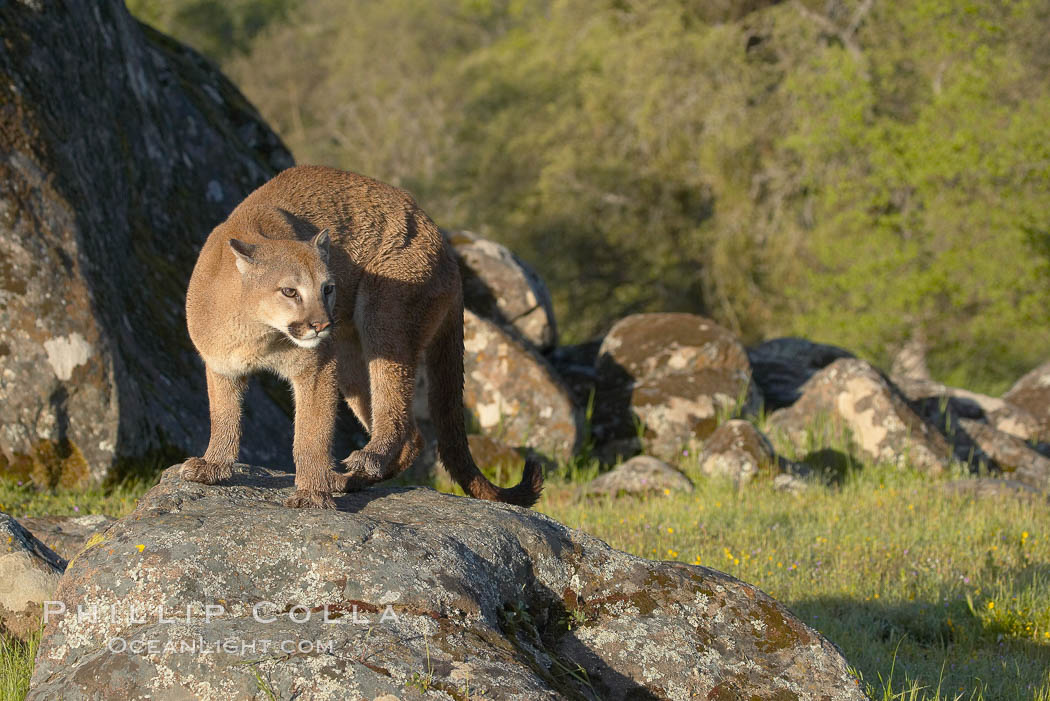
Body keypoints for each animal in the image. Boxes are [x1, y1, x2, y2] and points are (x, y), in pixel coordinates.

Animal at [179, 167, 541, 510]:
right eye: (289, 291)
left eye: (328, 288)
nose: (322, 324)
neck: (258, 332)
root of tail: (447, 248)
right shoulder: (222, 366)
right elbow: (224, 416)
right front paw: (214, 465)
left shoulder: (316, 367)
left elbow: (310, 433)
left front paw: (311, 493)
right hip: (349, 356)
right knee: (414, 436)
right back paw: (351, 479)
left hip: (385, 314)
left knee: (396, 414)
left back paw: (365, 459)